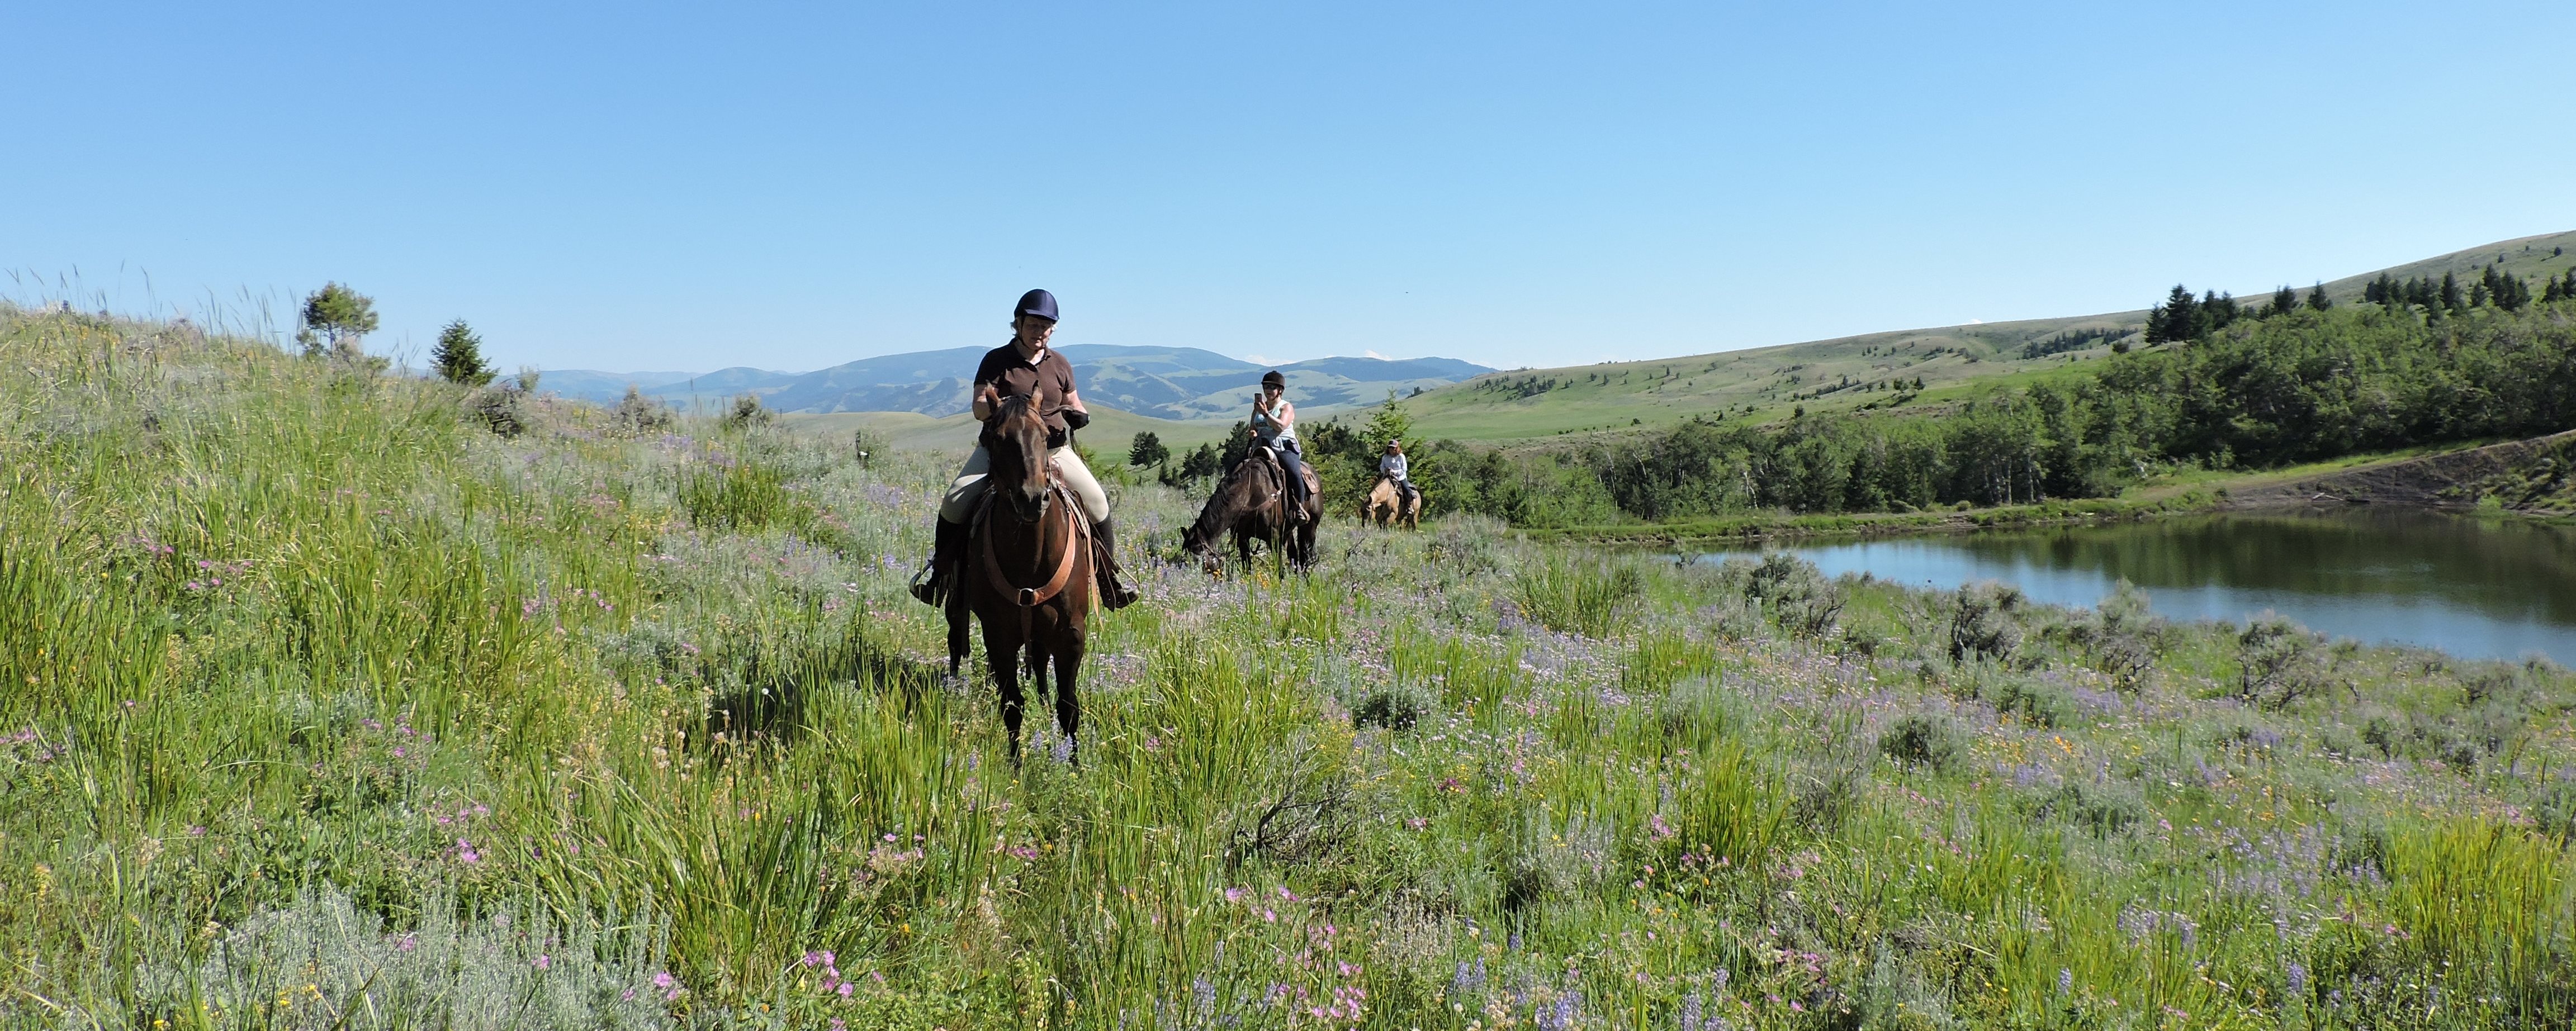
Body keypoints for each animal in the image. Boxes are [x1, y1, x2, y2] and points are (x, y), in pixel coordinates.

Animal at [958, 394, 1097, 763]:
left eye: (1045, 435)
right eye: (997, 437)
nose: (1033, 499)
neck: (1030, 557)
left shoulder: (1071, 635)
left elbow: (1069, 707)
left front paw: (1075, 767)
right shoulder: (998, 636)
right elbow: (1012, 706)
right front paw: (1016, 766)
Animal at [1180, 445, 1319, 567]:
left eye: (1200, 560)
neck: (1250, 494)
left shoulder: (1273, 537)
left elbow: (1278, 568)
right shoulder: (1243, 538)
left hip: (1310, 527)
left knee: (1307, 555)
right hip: (1288, 531)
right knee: (1294, 555)